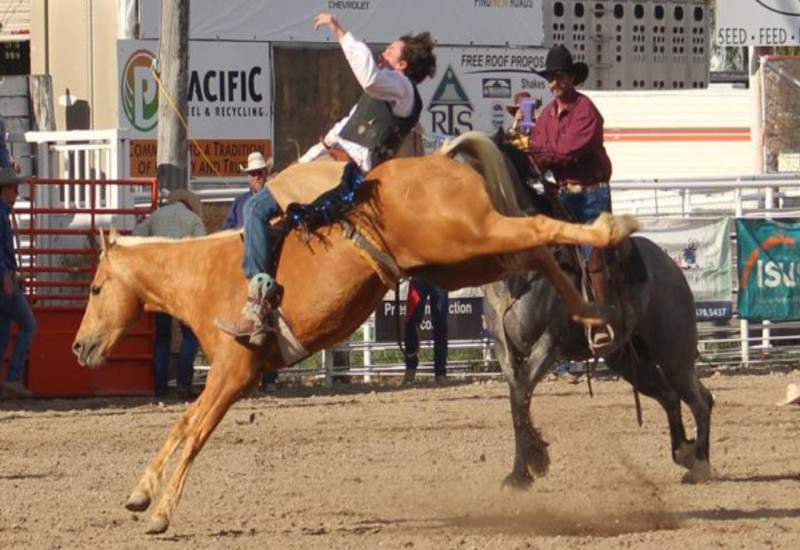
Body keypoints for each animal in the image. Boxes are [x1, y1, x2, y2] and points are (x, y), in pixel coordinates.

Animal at [73, 133, 636, 536]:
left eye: (97, 287)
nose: (79, 345)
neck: (209, 274)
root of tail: (441, 156)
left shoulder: (233, 375)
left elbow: (193, 434)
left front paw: (160, 512)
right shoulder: (226, 378)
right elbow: (182, 425)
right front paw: (141, 493)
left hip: (467, 240)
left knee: (540, 232)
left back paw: (611, 230)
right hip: (464, 257)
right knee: (537, 250)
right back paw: (591, 312)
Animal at [484, 138, 716, 488]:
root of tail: (670, 267)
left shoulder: (549, 344)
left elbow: (522, 395)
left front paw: (535, 461)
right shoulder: (505, 351)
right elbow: (516, 403)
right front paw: (519, 473)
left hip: (674, 353)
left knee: (700, 399)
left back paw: (700, 464)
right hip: (626, 358)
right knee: (669, 395)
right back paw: (683, 452)